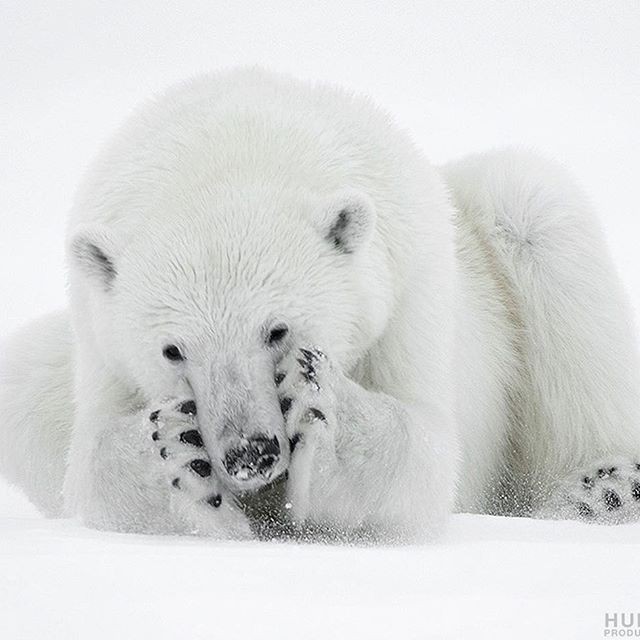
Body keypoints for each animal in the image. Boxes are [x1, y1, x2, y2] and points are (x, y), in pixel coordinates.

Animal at [1, 69, 640, 540]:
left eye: (277, 329)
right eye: (172, 350)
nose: (250, 454)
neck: (232, 151)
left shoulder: (407, 283)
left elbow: (428, 449)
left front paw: (318, 397)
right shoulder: (97, 335)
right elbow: (89, 466)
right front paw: (181, 451)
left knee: (540, 214)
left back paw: (599, 491)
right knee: (23, 379)